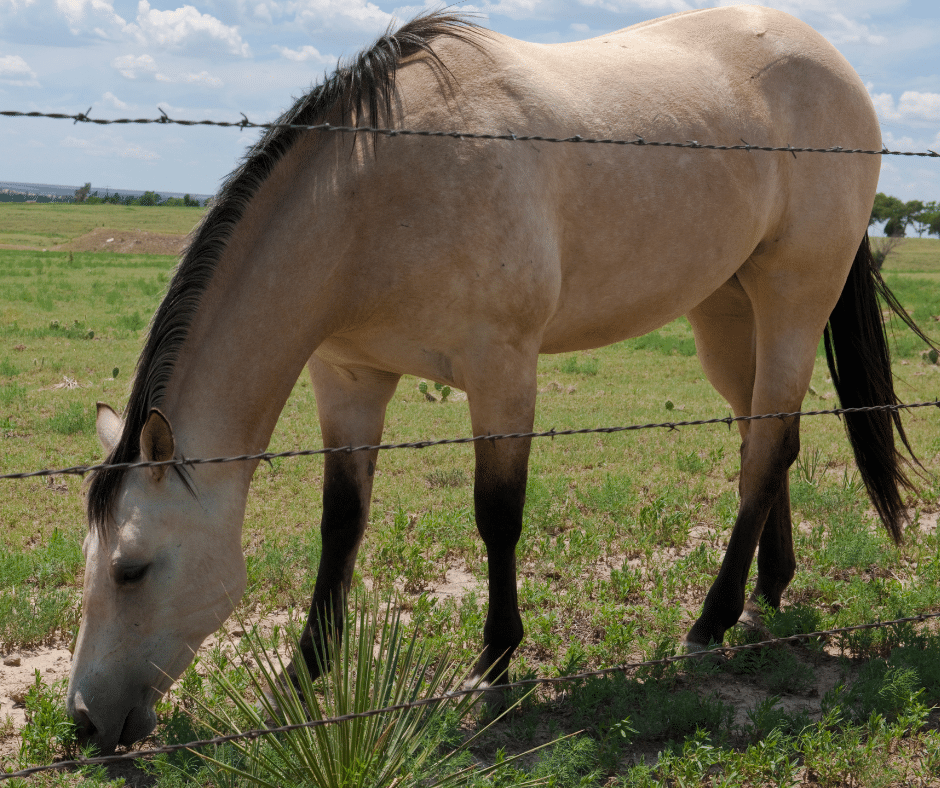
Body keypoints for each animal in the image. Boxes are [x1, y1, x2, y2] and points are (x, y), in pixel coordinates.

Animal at [64, 6, 912, 756]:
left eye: (131, 570)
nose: (82, 723)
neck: (377, 191)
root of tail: (834, 65)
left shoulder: (501, 368)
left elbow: (497, 514)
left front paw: (495, 665)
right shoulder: (348, 377)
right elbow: (341, 524)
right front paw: (302, 678)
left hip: (792, 296)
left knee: (768, 446)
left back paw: (712, 620)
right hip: (727, 307)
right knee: (761, 439)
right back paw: (768, 587)